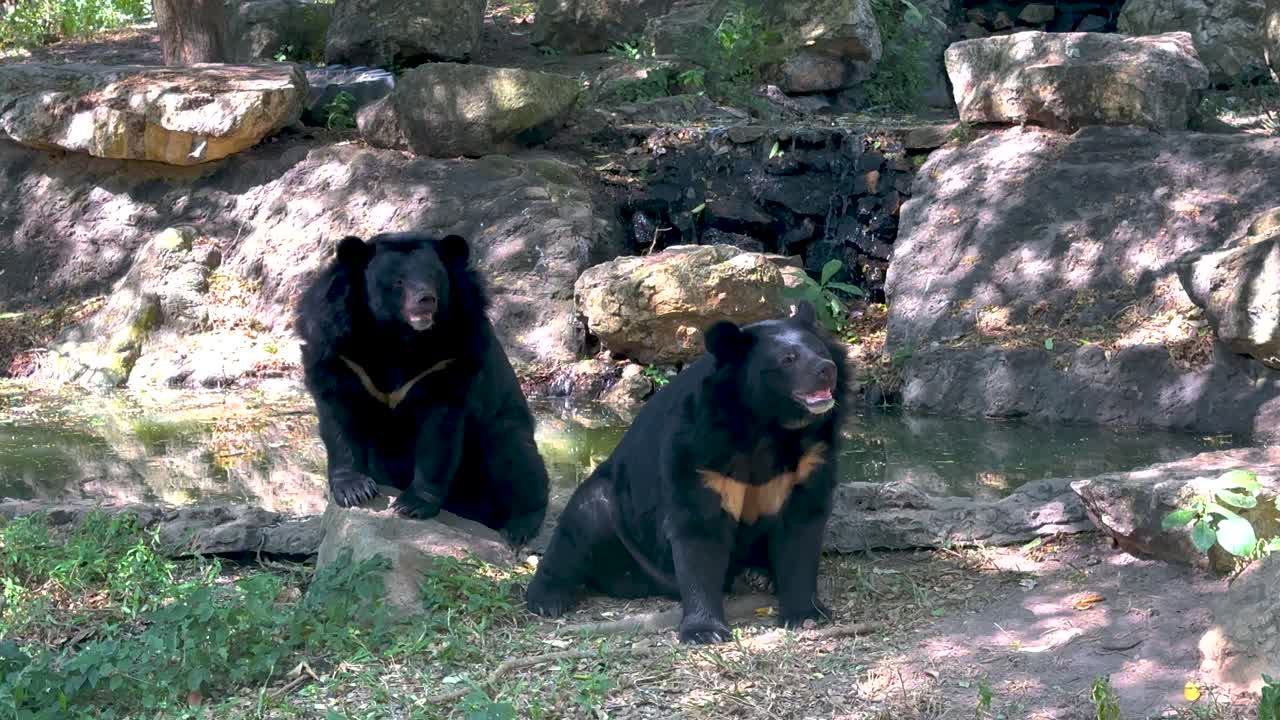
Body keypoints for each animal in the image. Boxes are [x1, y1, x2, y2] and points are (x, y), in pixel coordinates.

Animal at [295, 231, 550, 546]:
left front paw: (411, 504)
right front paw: (356, 491)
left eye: (434, 277)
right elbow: (338, 415)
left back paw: (518, 528)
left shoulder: (452, 357)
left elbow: (438, 433)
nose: (426, 301)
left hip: (502, 430)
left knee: (516, 459)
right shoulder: (338, 350)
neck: (398, 337)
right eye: (398, 282)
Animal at [525, 301, 847, 643]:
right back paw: (547, 598)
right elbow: (698, 528)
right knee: (579, 524)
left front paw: (806, 614)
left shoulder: (810, 456)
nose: (827, 369)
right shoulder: (698, 448)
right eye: (788, 359)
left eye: (820, 349)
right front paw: (705, 631)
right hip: (617, 512)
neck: (767, 424)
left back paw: (760, 576)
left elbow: (802, 525)